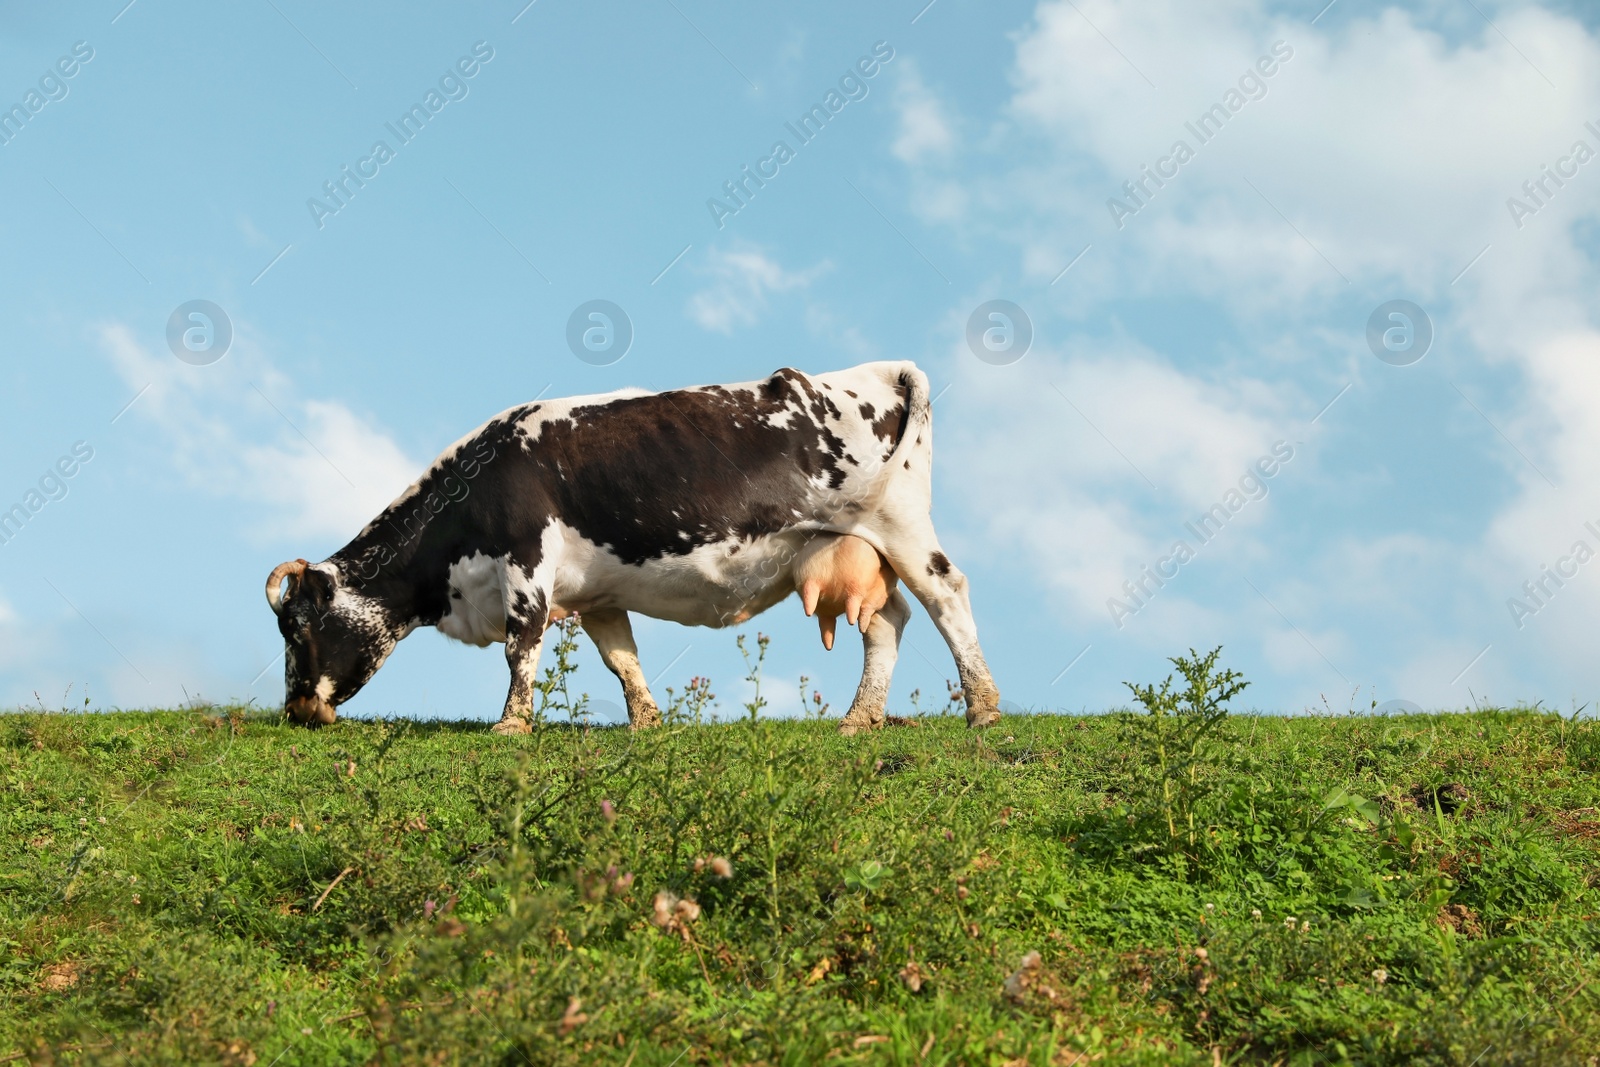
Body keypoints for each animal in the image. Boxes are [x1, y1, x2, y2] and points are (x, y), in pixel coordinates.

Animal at [270, 363, 1004, 739]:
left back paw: (982, 706)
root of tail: (874, 370)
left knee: (947, 595)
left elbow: (521, 647)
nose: (297, 706)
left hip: (901, 524)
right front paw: (648, 723)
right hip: (853, 547)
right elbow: (621, 659)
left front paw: (510, 727)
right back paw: (860, 717)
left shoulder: (526, 562)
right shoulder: (594, 593)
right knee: (887, 620)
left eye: (297, 627)